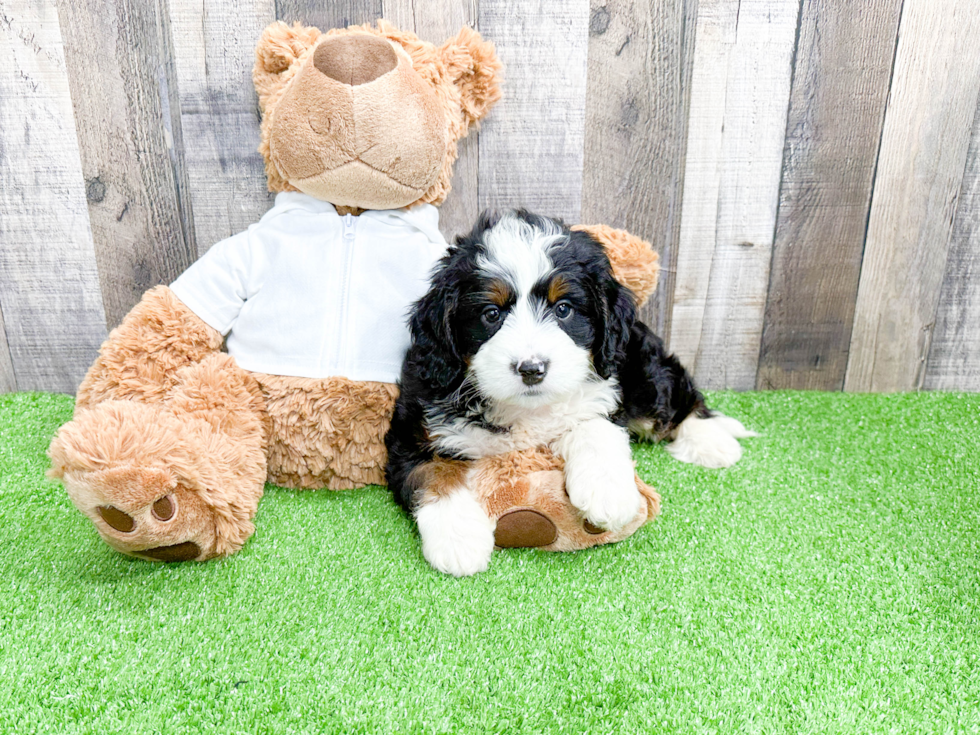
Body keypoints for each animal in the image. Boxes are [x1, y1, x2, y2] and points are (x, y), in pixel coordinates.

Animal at [386, 210, 756, 576]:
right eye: (491, 313)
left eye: (563, 309)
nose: (532, 369)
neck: (527, 411)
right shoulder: (414, 428)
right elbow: (435, 473)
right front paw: (459, 538)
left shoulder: (603, 391)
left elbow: (594, 425)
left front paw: (608, 491)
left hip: (641, 370)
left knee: (674, 397)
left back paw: (711, 442)